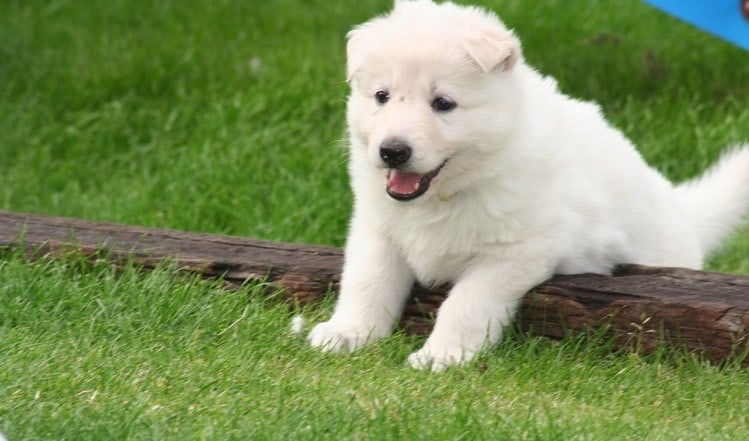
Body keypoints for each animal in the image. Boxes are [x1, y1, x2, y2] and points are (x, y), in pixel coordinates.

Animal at [306, 0, 744, 372]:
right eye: (381, 96)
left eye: (443, 103)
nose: (392, 151)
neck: (451, 191)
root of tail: (682, 211)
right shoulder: (379, 229)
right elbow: (367, 281)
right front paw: (347, 333)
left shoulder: (513, 253)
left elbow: (465, 303)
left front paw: (442, 356)